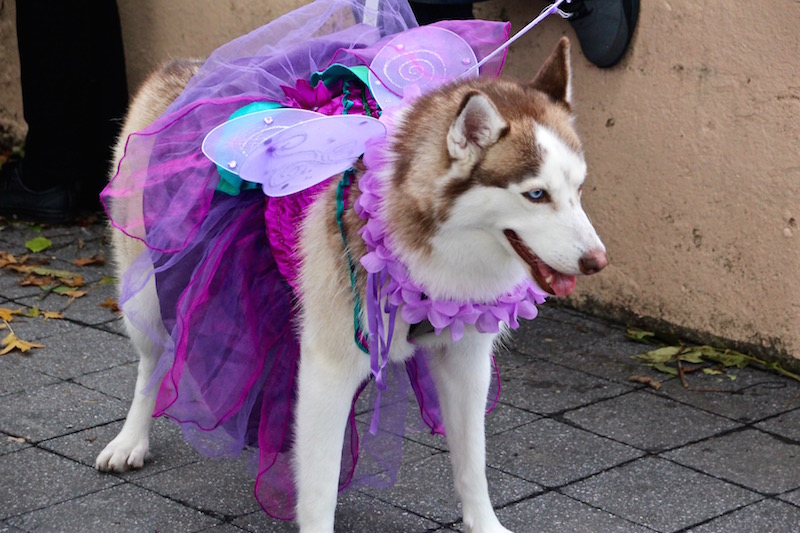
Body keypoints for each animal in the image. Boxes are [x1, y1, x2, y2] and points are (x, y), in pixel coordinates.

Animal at [95, 38, 608, 532]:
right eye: (535, 194)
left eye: (580, 189)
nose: (597, 261)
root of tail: (184, 68)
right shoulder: (331, 368)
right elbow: (319, 489)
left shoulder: (465, 362)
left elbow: (472, 465)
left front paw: (485, 524)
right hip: (146, 291)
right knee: (155, 360)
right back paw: (130, 440)